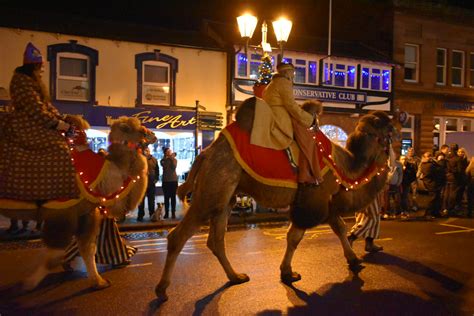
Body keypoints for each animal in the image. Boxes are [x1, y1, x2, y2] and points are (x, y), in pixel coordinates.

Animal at [0, 115, 156, 292]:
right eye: (140, 129)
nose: (154, 135)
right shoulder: (62, 211)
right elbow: (58, 251)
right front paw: (30, 283)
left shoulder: (86, 212)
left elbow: (87, 248)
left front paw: (98, 281)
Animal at [155, 97, 396, 302]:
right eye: (389, 130)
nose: (398, 128)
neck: (344, 166)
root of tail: (204, 154)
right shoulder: (315, 198)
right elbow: (316, 232)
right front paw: (350, 261)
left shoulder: (315, 202)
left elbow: (312, 234)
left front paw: (290, 272)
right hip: (211, 192)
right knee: (179, 236)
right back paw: (162, 290)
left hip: (225, 197)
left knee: (216, 240)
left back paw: (236, 277)